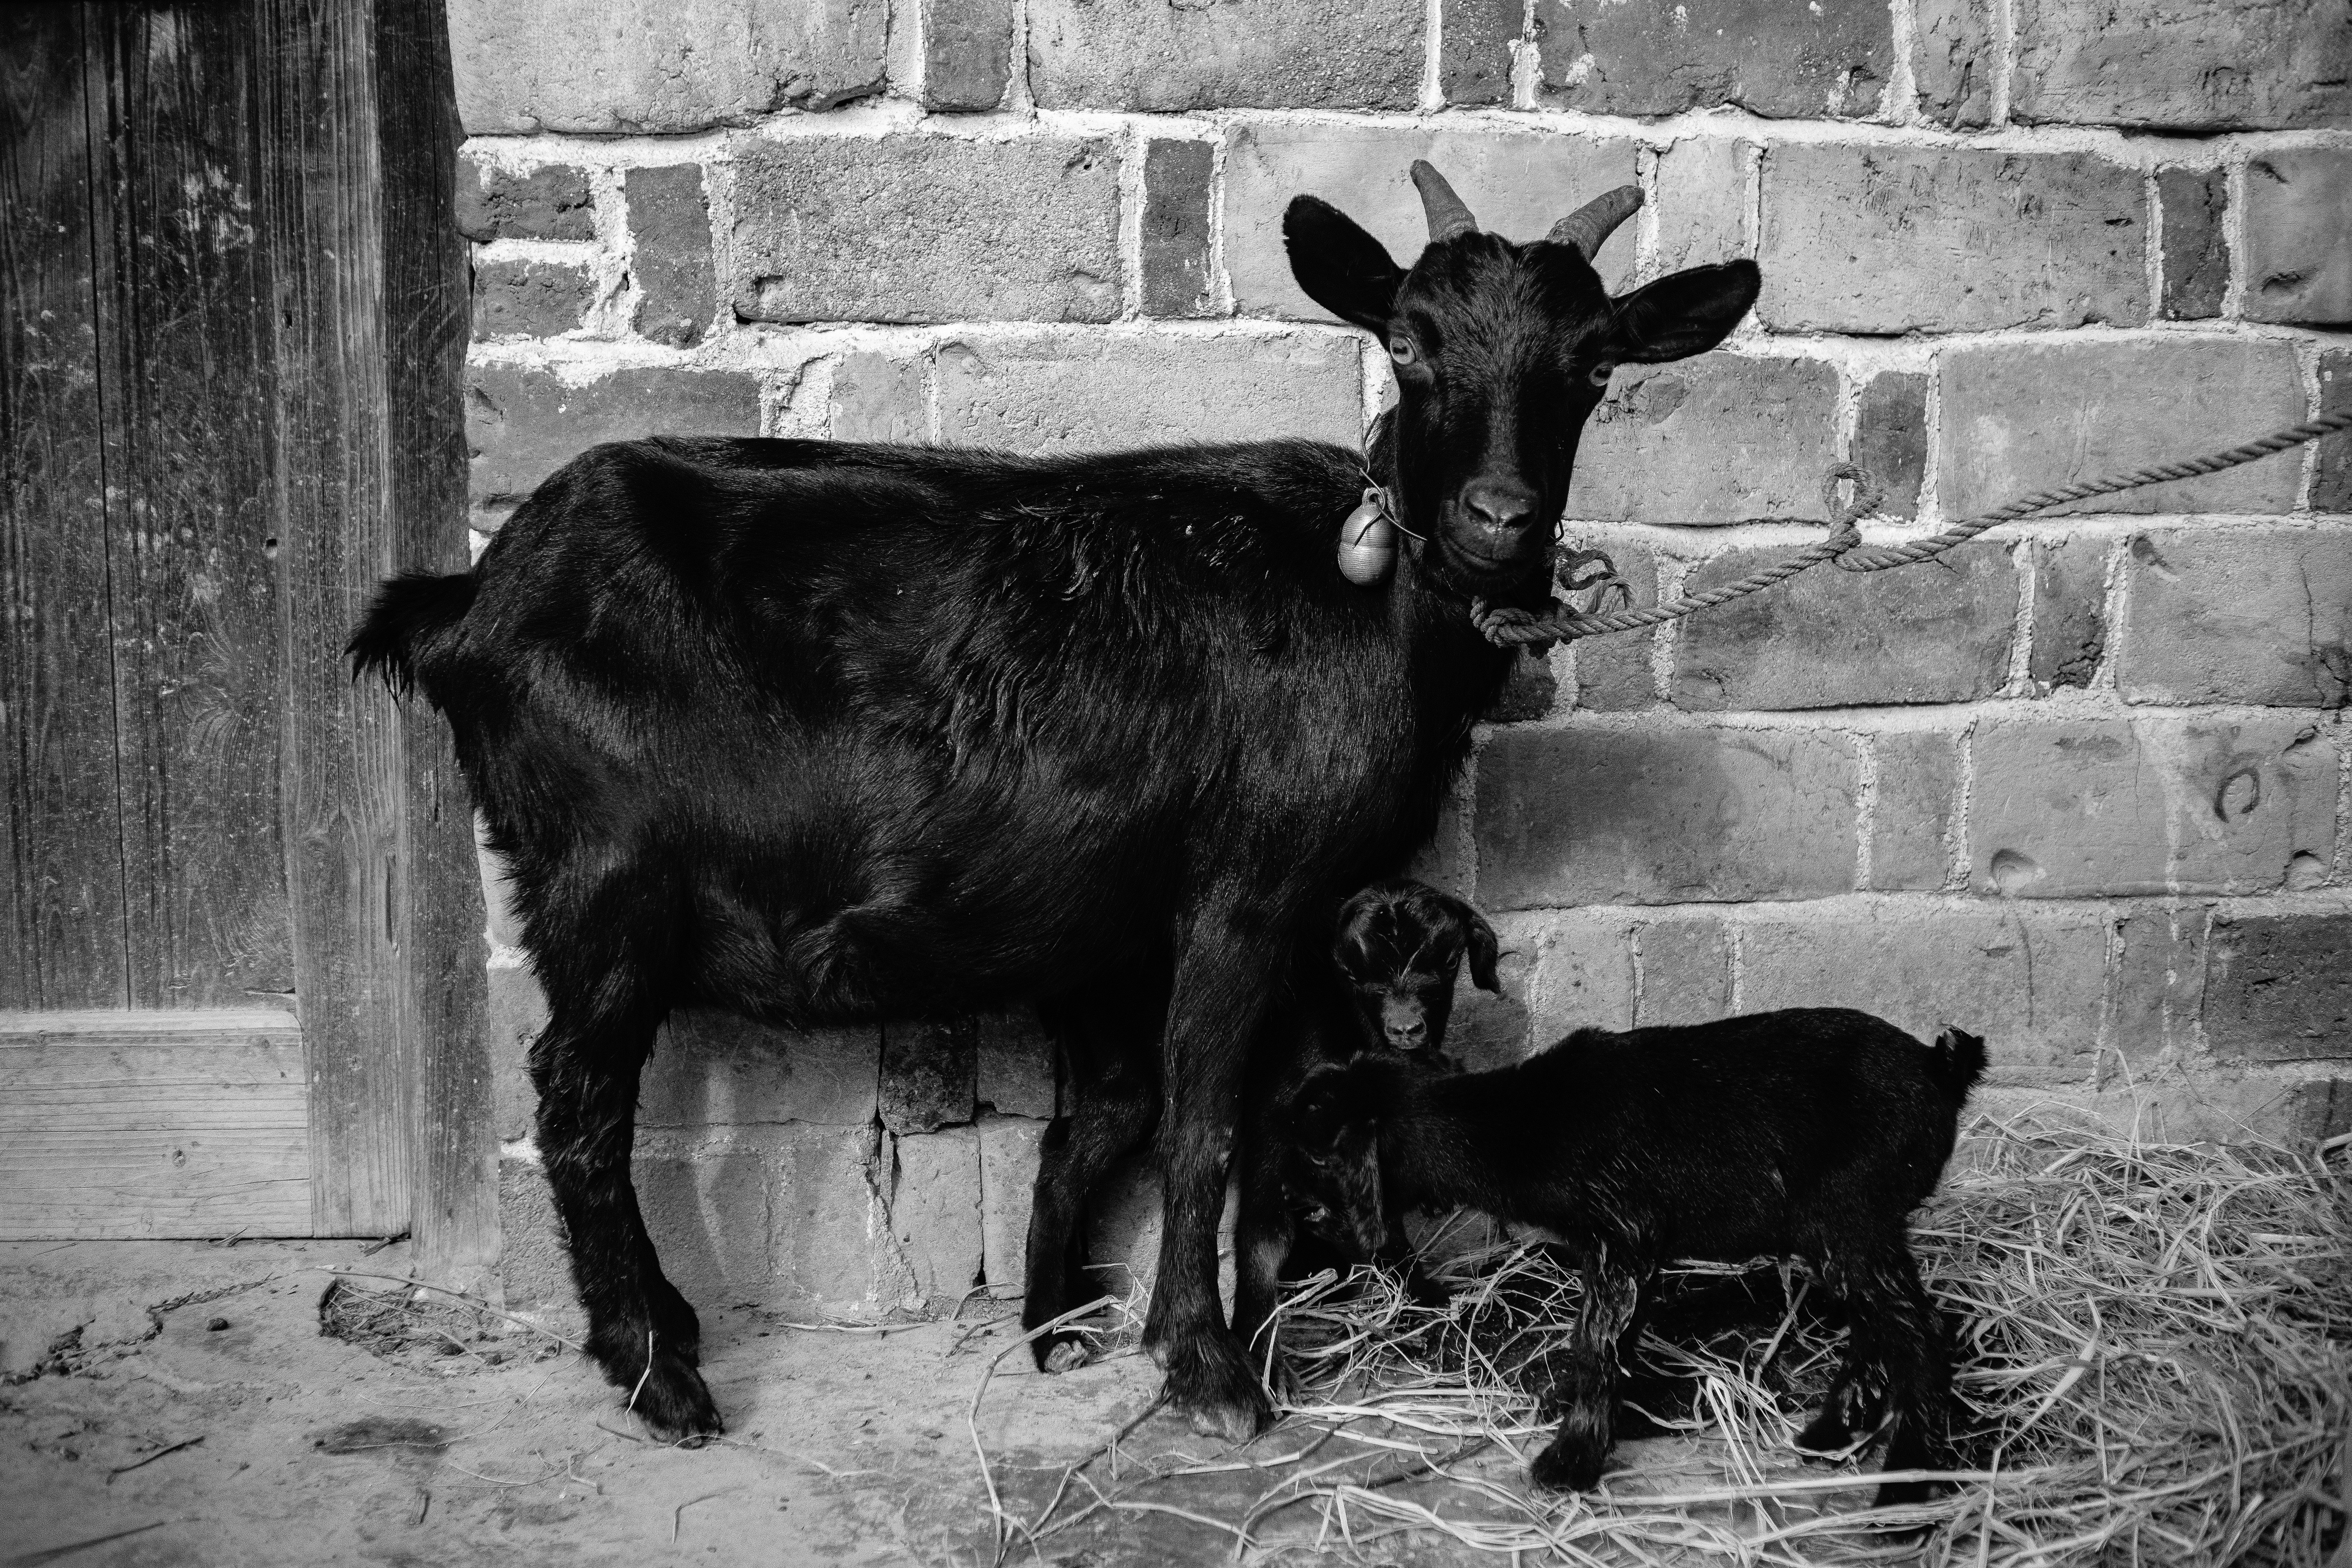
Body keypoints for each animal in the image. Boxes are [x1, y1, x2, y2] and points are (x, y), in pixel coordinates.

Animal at [350, 160, 1760, 1442]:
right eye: (1407, 343)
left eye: (1594, 366)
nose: (1498, 519)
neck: (1370, 604)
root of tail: (468, 603)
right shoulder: (1248, 887)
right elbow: (1207, 1123)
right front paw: (1209, 1370)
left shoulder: (1129, 926)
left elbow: (1120, 1118)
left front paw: (1083, 1324)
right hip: (606, 878)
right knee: (576, 1100)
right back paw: (660, 1376)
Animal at [1278, 1009, 1985, 1507]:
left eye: (1315, 1152)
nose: (1291, 1206)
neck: (1518, 1123)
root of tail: (1942, 1066)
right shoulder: (1626, 1246)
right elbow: (1618, 1333)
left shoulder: (1624, 1232)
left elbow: (1597, 1340)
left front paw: (1570, 1459)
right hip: (1847, 1232)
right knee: (1879, 1325)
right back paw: (1833, 1430)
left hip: (1851, 1214)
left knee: (1922, 1331)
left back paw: (1906, 1485)